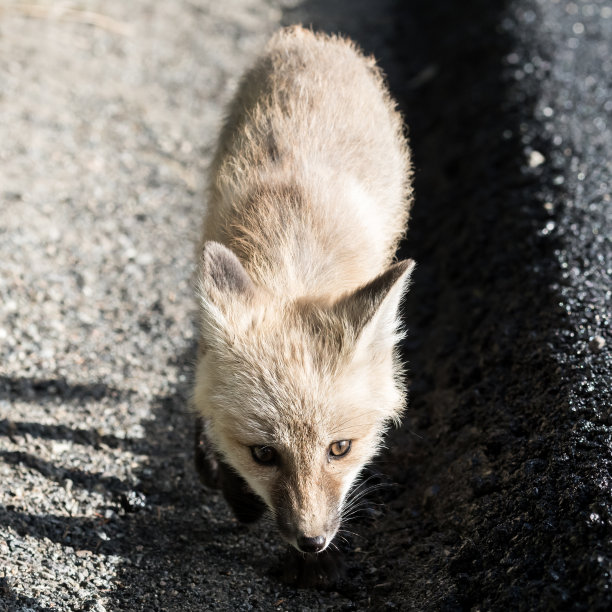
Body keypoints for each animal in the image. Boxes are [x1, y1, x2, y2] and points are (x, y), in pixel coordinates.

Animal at [194, 25, 414, 588]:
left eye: (340, 448)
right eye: (263, 454)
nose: (312, 541)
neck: (293, 259)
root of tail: (312, 37)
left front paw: (313, 567)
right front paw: (229, 483)